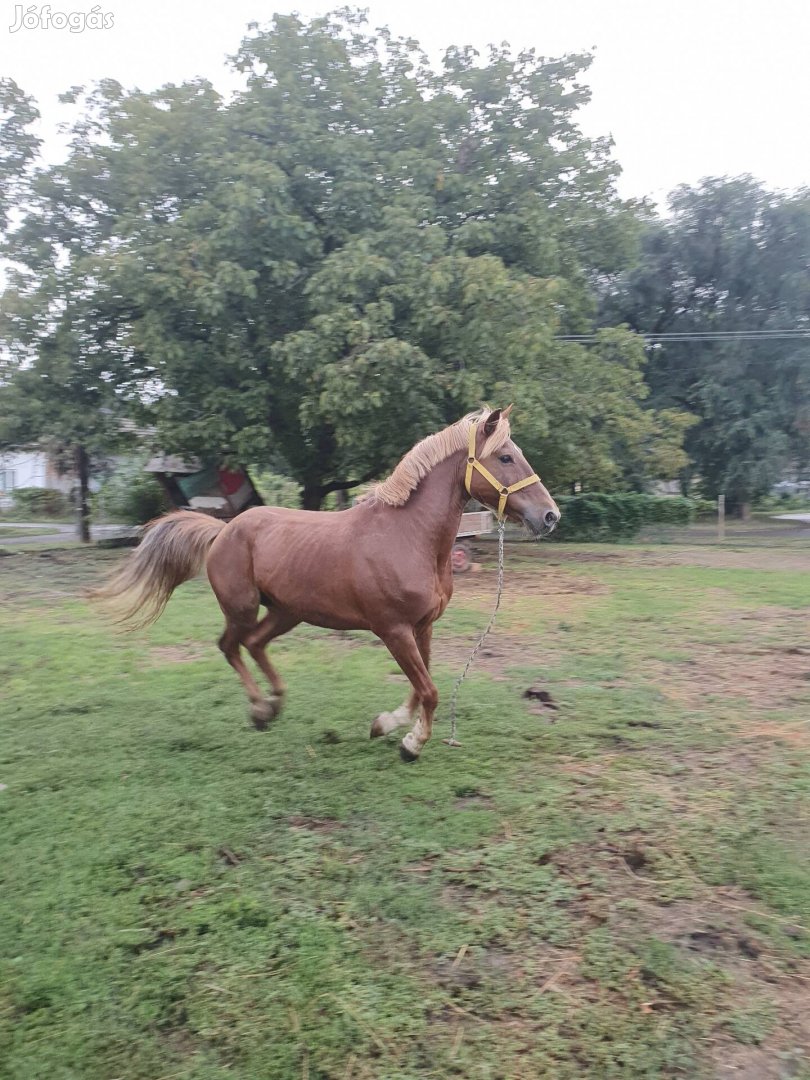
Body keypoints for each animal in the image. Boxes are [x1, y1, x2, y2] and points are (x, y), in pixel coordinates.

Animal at [93, 406, 557, 760]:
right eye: (505, 458)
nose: (550, 516)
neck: (408, 536)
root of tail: (223, 530)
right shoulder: (393, 630)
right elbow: (428, 689)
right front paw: (410, 743)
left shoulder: (422, 627)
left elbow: (420, 686)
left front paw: (387, 726)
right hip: (242, 608)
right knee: (230, 646)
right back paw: (259, 709)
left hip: (286, 612)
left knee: (254, 644)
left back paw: (274, 705)